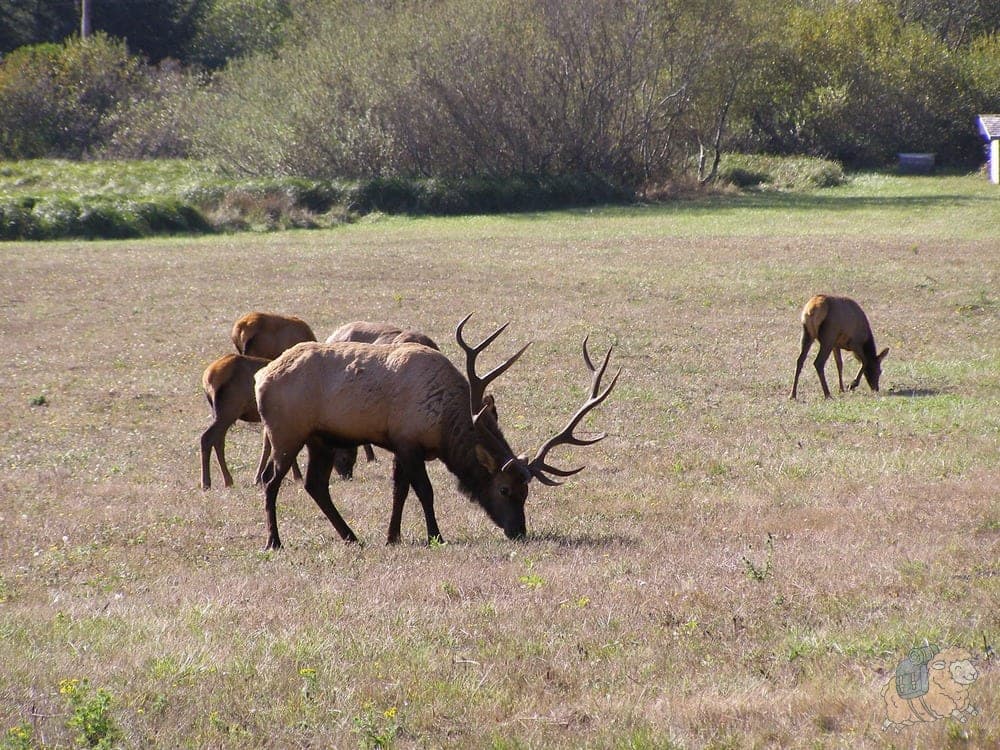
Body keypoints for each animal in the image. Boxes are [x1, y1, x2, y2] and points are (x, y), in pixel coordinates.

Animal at [253, 314, 620, 550]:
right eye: (503, 489)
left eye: (526, 491)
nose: (518, 531)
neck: (444, 426)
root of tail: (260, 379)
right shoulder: (408, 441)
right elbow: (424, 491)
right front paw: (435, 536)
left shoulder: (399, 444)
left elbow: (399, 490)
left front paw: (392, 536)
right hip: (286, 432)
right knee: (271, 481)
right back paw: (274, 541)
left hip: (321, 439)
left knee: (315, 484)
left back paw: (351, 536)